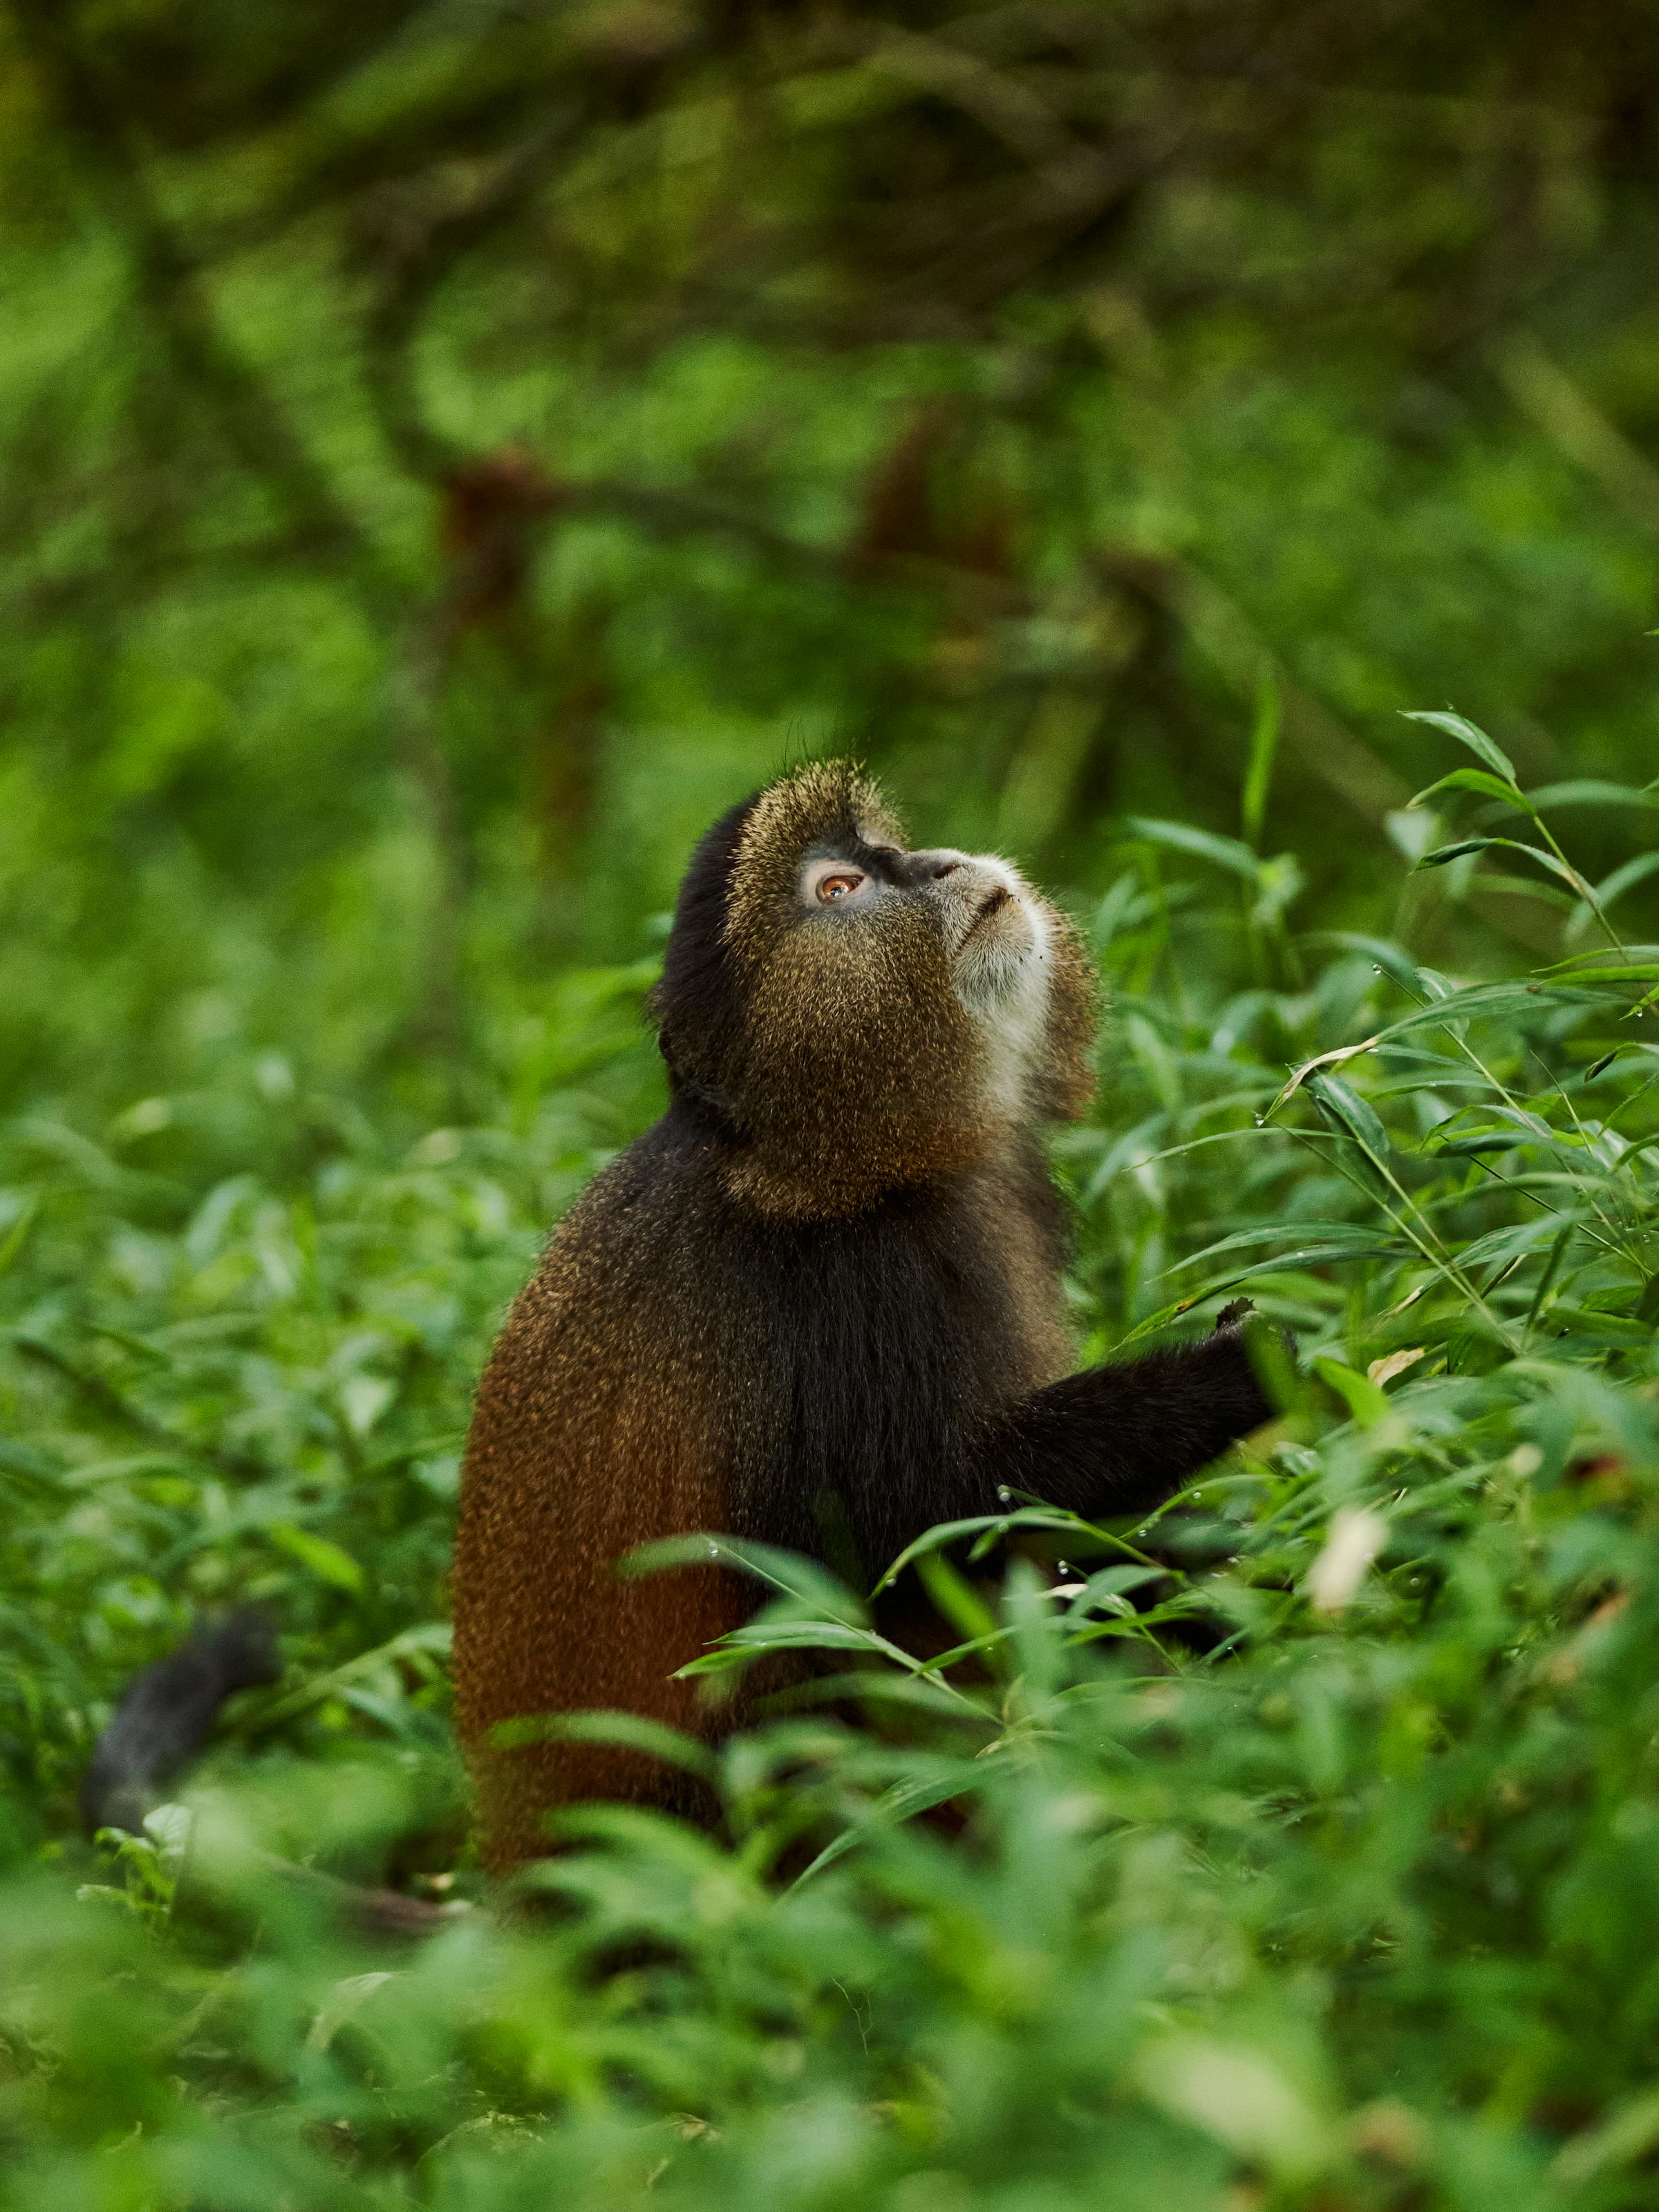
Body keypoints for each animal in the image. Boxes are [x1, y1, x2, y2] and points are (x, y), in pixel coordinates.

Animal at [452, 760, 1277, 1871]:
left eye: (882, 850)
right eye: (840, 889)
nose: (933, 863)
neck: (844, 1167)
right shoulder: (837, 1294)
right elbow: (914, 1526)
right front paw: (1233, 1375)